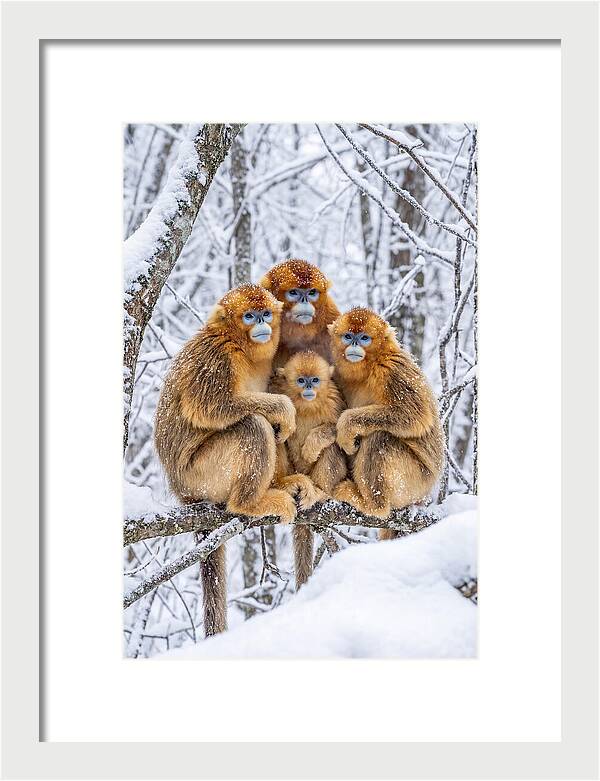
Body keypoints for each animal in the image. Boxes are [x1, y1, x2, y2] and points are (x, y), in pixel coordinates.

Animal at [154, 284, 298, 637]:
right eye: (249, 315)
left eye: (265, 313)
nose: (262, 324)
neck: (241, 348)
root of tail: (182, 491)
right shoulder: (216, 357)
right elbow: (212, 408)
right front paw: (283, 407)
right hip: (201, 475)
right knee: (254, 425)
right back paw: (250, 503)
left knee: (269, 428)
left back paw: (280, 484)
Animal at [269, 351, 347, 588]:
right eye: (301, 381)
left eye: (314, 380)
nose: (309, 388)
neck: (306, 404)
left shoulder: (334, 399)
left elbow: (339, 430)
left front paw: (312, 446)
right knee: (275, 435)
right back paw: (283, 484)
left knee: (332, 447)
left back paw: (320, 492)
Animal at [328, 307, 444, 538]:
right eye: (348, 336)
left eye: (364, 338)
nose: (355, 344)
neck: (370, 366)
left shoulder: (392, 369)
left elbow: (415, 415)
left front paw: (346, 426)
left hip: (415, 482)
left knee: (380, 438)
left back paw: (372, 505)